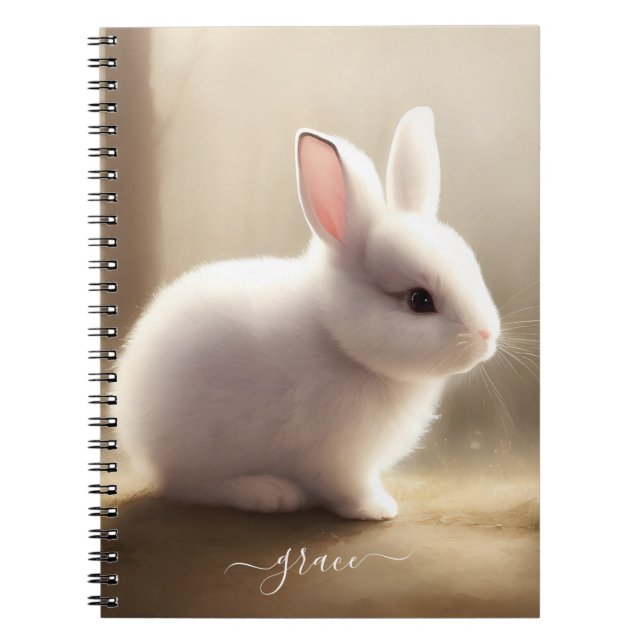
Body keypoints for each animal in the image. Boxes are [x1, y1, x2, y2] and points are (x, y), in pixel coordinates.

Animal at [117, 107, 500, 520]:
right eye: (419, 300)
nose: (487, 336)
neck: (340, 343)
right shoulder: (338, 461)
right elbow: (349, 490)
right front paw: (377, 509)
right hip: (201, 447)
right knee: (189, 487)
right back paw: (267, 493)